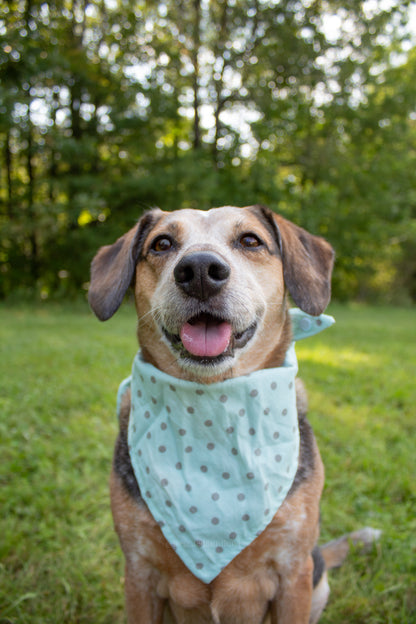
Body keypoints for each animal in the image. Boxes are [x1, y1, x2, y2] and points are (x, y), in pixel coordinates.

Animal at [88, 206, 380, 624]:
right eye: (162, 243)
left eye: (250, 240)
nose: (199, 270)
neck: (213, 401)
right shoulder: (139, 573)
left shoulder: (293, 573)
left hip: (317, 580)